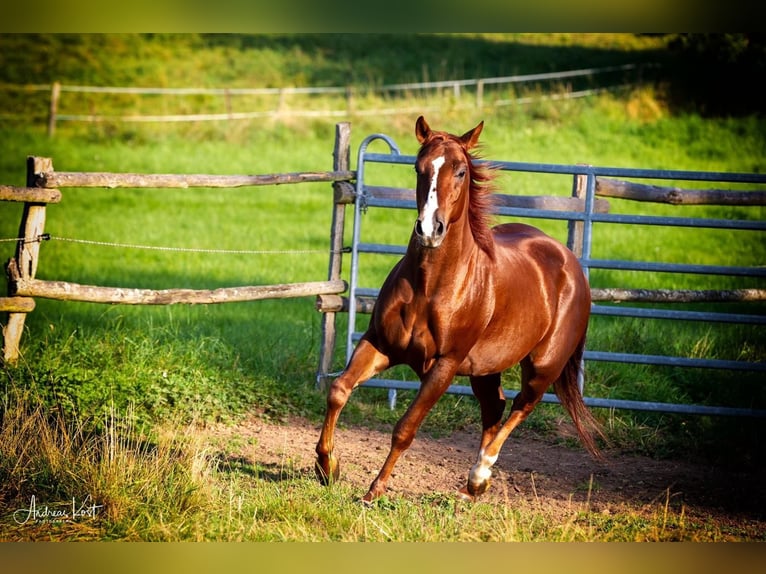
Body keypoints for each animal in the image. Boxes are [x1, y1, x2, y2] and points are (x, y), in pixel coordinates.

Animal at [315, 116, 603, 503]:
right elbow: (338, 391)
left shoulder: (445, 366)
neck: (430, 287)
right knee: (495, 406)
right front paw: (327, 467)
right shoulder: (379, 344)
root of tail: (568, 260)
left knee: (522, 406)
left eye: (461, 171)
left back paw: (480, 475)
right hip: (485, 368)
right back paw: (472, 487)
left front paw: (373, 491)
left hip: (543, 366)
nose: (429, 229)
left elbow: (405, 429)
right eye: (419, 167)